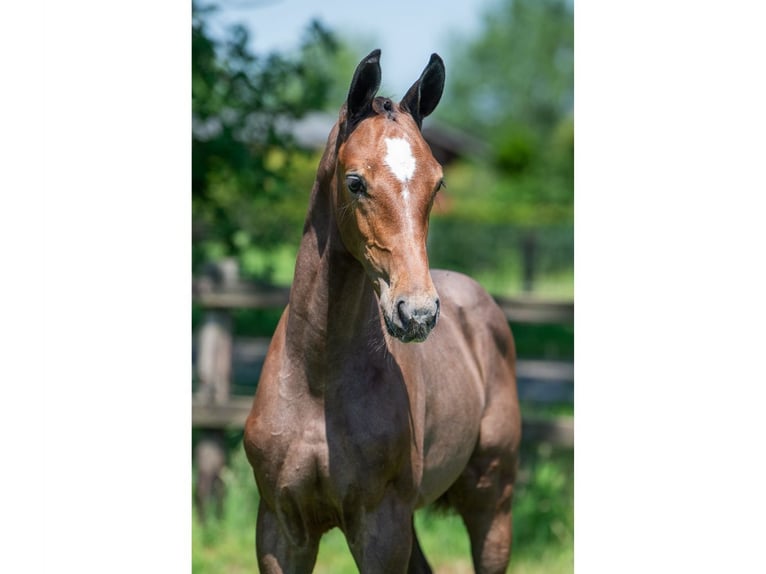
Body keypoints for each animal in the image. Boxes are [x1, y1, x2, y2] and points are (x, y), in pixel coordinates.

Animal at [243, 49, 521, 574]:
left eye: (438, 184)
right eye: (355, 182)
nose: (417, 313)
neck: (317, 382)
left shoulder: (381, 527)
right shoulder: (280, 528)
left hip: (491, 501)